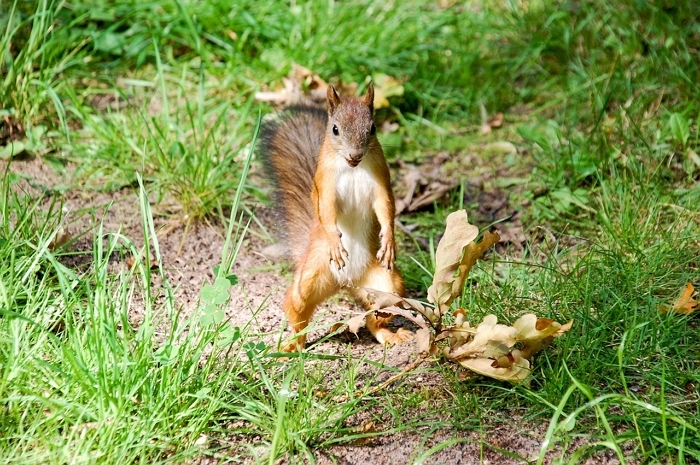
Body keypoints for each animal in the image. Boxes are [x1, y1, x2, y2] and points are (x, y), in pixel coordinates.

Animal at [260, 83, 413, 351]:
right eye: (335, 129)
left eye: (372, 128)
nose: (355, 154)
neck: (352, 168)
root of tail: (346, 282)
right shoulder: (325, 184)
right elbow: (327, 210)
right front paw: (335, 241)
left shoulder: (381, 181)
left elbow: (386, 208)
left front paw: (389, 241)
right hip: (309, 278)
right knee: (296, 311)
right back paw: (291, 345)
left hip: (388, 288)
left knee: (375, 319)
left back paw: (390, 335)